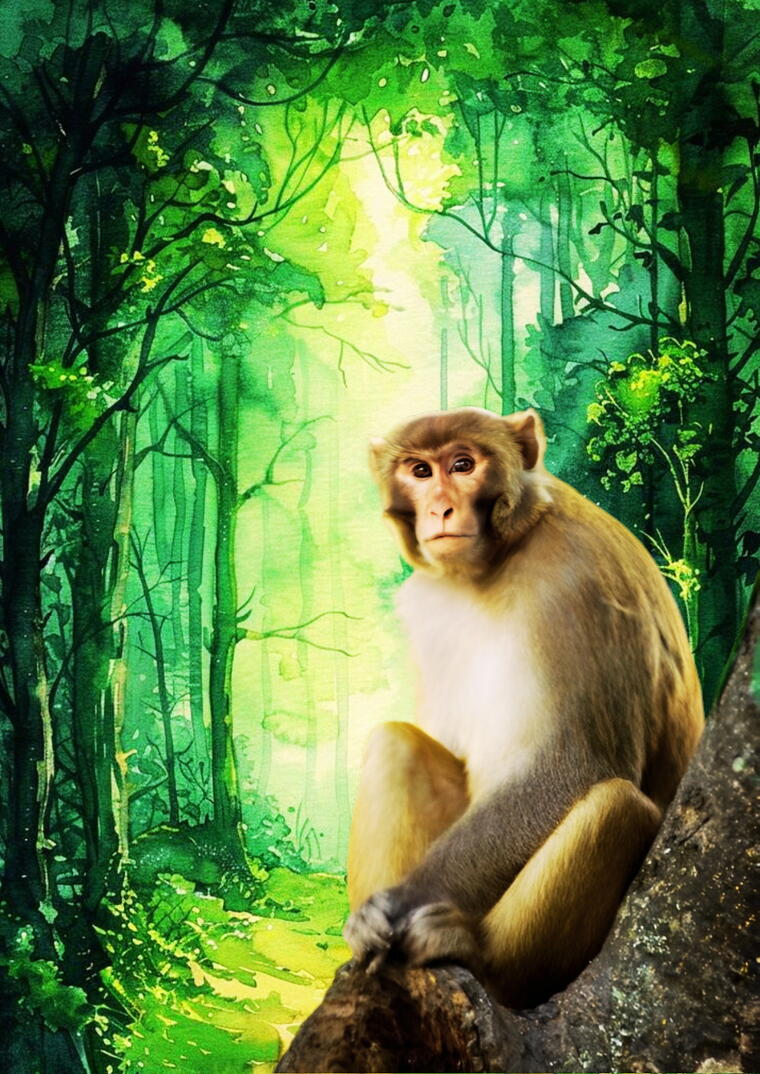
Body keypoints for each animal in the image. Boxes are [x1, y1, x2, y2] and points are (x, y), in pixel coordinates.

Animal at [343, 406, 704, 1008]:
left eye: (463, 465)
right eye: (420, 471)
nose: (440, 507)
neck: (498, 559)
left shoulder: (574, 587)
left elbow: (571, 766)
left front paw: (400, 902)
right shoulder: (426, 604)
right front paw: (374, 920)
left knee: (617, 806)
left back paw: (482, 959)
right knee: (394, 742)